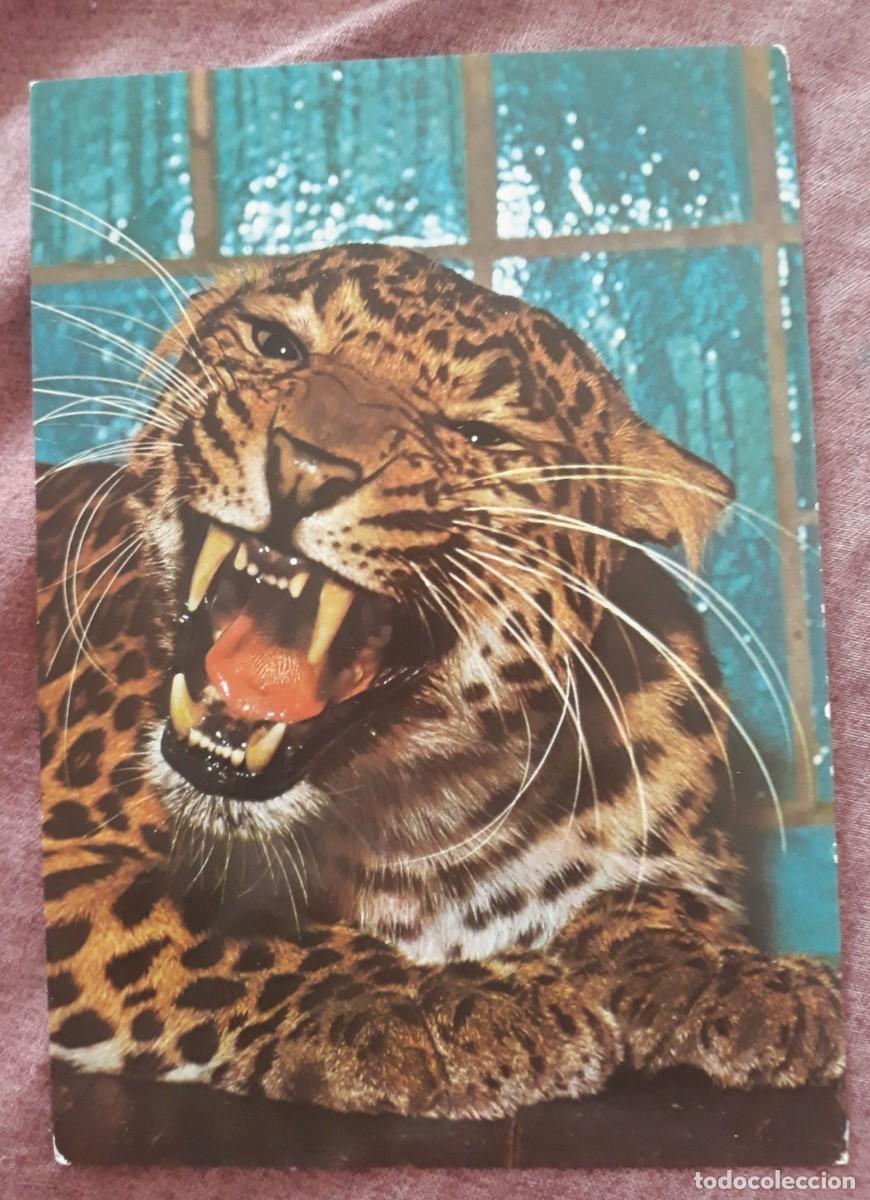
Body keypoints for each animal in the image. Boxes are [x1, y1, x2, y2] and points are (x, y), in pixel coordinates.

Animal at [36, 243, 844, 1119]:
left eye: (479, 434)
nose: (307, 467)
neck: (412, 825)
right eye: (276, 345)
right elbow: (215, 931)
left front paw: (736, 976)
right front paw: (436, 1002)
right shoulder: (69, 858)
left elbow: (657, 907)